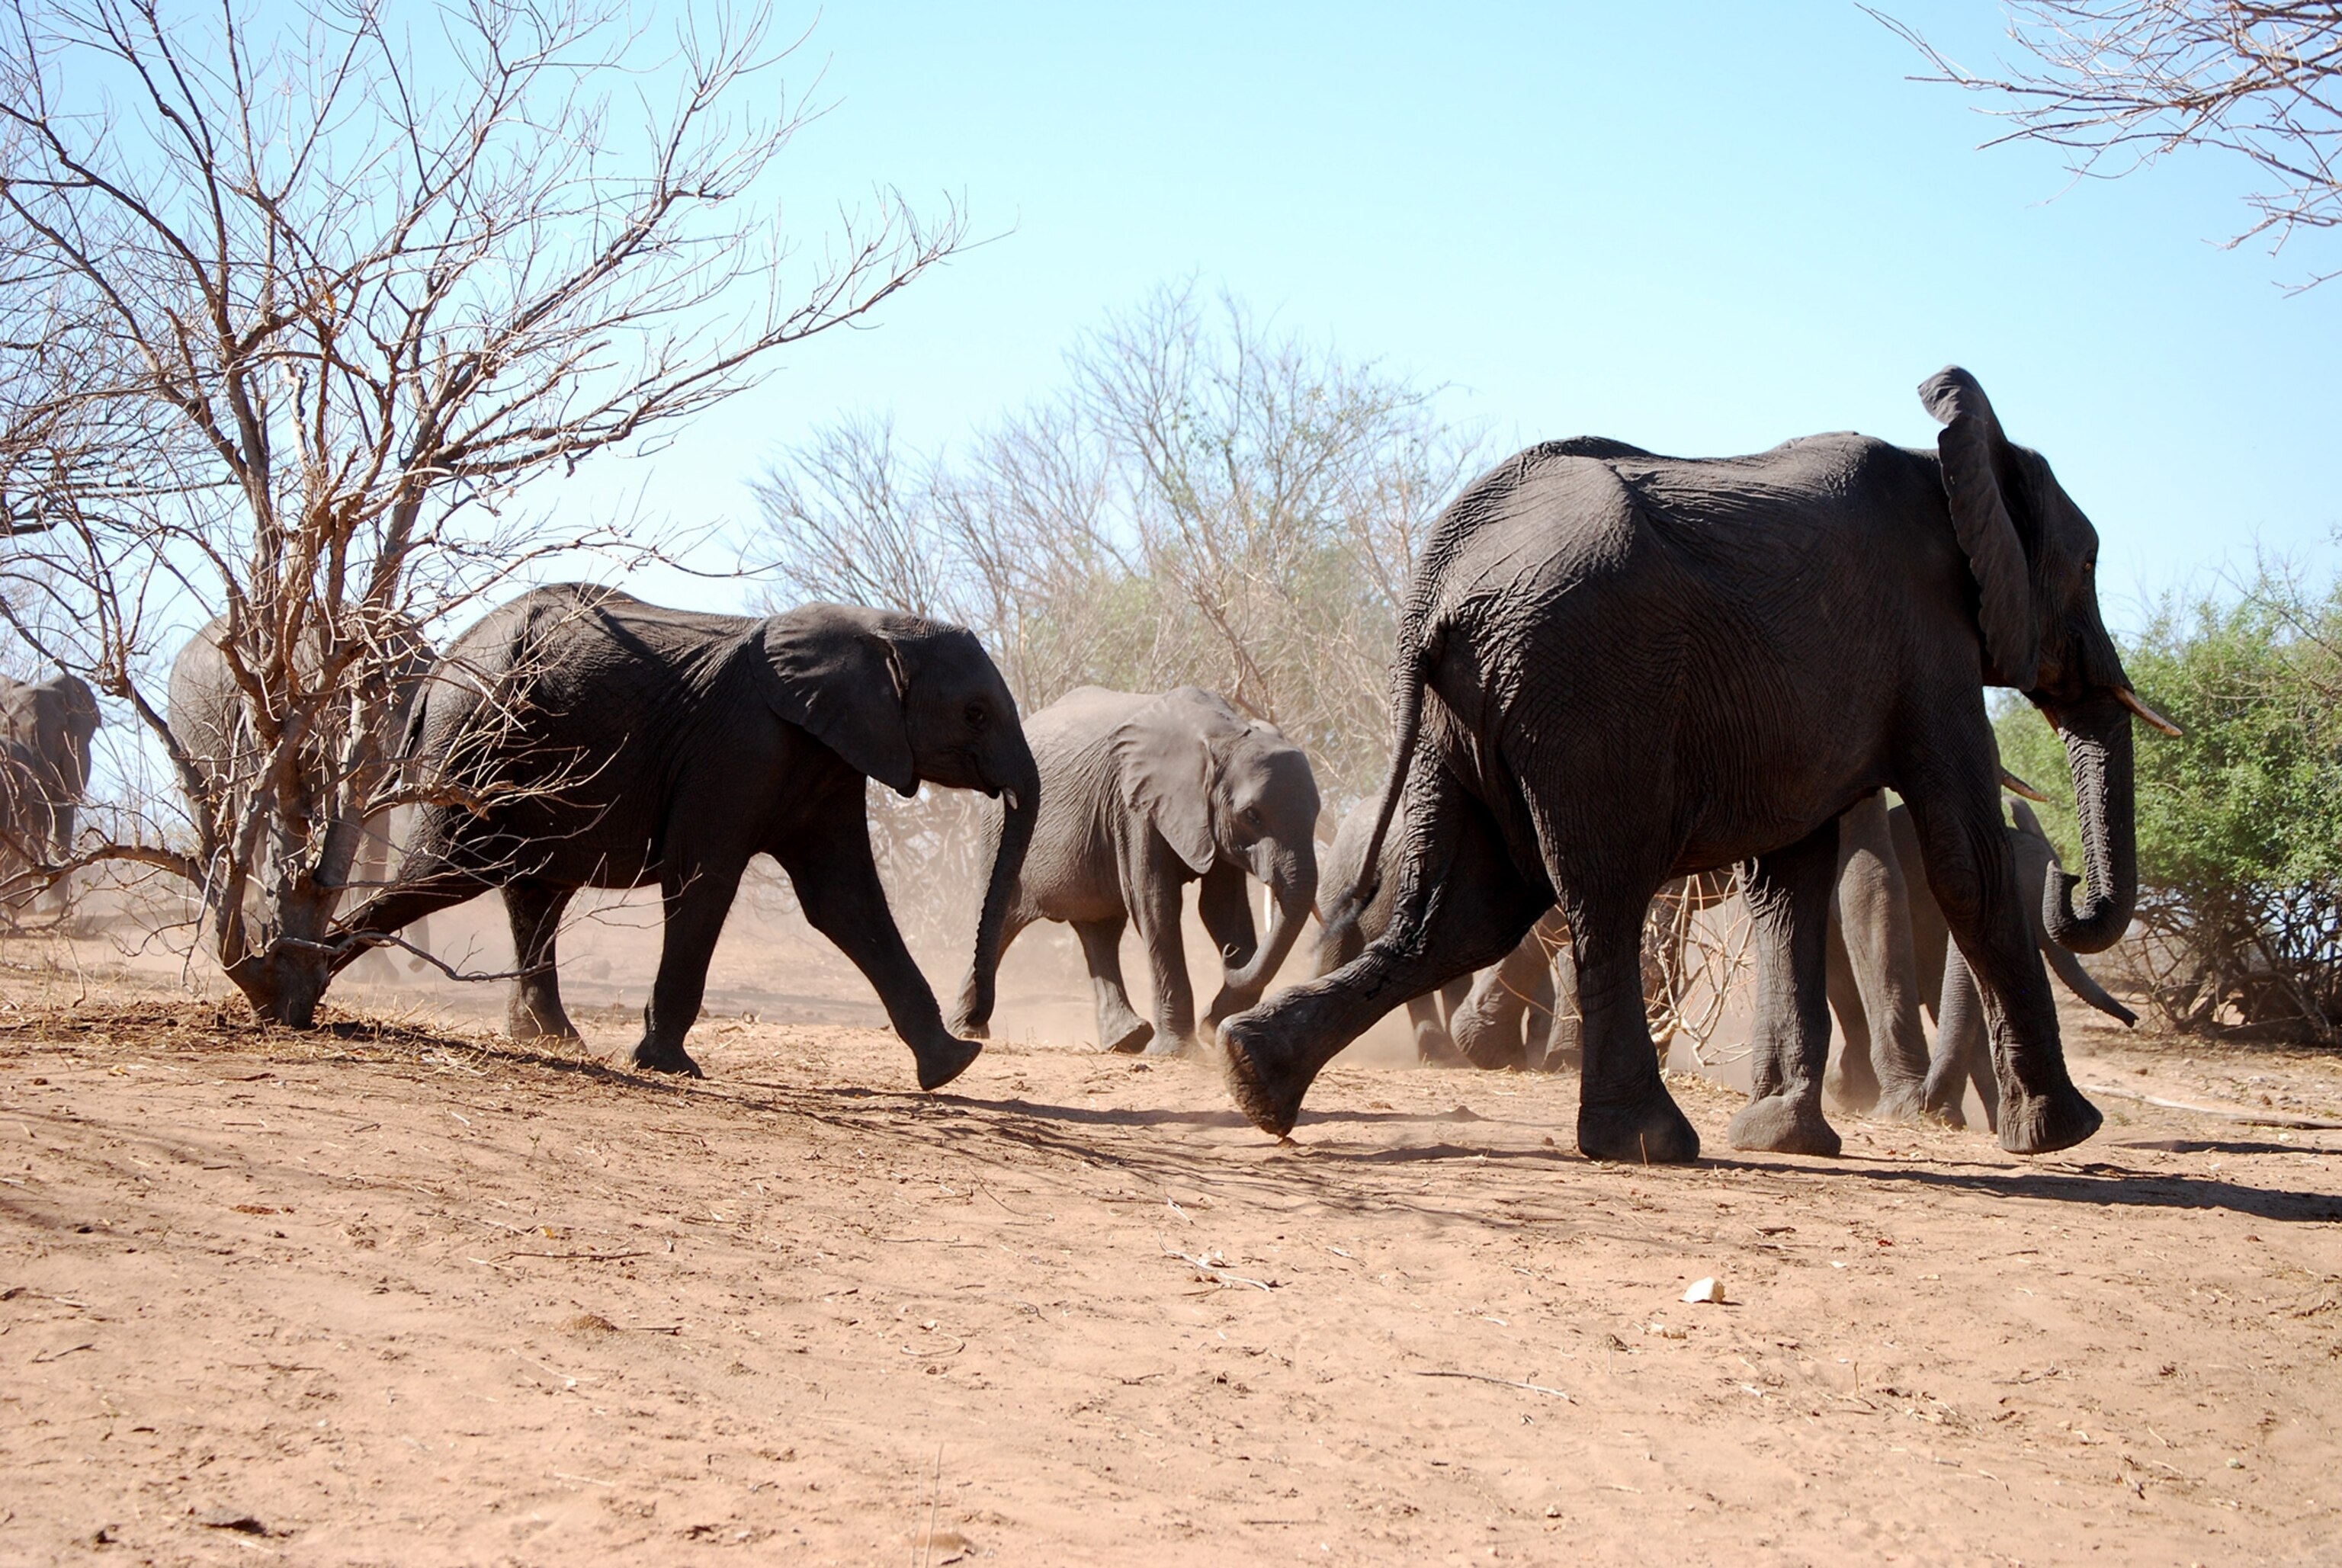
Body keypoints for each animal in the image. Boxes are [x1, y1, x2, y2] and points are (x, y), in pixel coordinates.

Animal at [330, 585, 1038, 1087]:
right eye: (975, 714)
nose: (974, 1019)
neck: (874, 624)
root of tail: (436, 671)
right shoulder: (740, 747)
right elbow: (704, 878)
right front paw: (667, 1065)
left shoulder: (829, 755)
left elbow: (844, 900)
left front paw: (951, 1064)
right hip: (474, 739)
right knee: (447, 870)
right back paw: (303, 970)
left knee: (532, 888)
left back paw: (552, 1039)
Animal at [956, 686, 1318, 1057]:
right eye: (1252, 816)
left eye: (1317, 813)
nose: (1229, 956)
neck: (1223, 734)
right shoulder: (1135, 806)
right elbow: (1156, 904)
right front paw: (1180, 1051)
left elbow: (1220, 909)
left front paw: (1213, 1027)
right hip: (999, 826)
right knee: (1002, 922)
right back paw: (968, 1030)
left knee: (1099, 930)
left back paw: (1126, 1040)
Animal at [1222, 371, 2173, 1162]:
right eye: (2088, 563)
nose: (2075, 885)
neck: (1946, 463)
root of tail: (1436, 580)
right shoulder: (1929, 644)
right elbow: (1965, 864)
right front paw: (2063, 1133)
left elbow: (1792, 883)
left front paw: (1782, 1135)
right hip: (1586, 691)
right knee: (1598, 894)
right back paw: (1648, 1141)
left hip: (1463, 715)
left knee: (1459, 914)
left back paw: (1252, 1076)